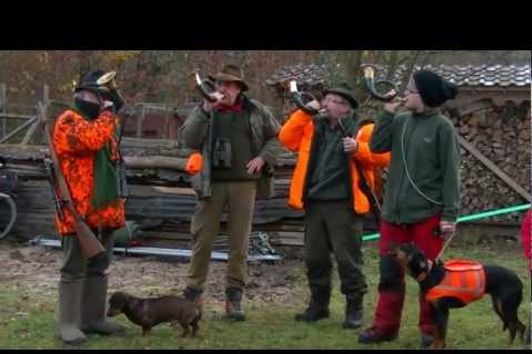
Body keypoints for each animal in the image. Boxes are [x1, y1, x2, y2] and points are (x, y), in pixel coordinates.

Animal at [388, 243, 524, 348]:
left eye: (404, 247)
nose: (391, 243)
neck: (430, 273)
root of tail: (518, 279)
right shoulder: (435, 310)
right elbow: (437, 334)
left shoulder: (443, 312)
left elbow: (441, 335)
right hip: (499, 306)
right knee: (514, 326)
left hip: (507, 308)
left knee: (519, 326)